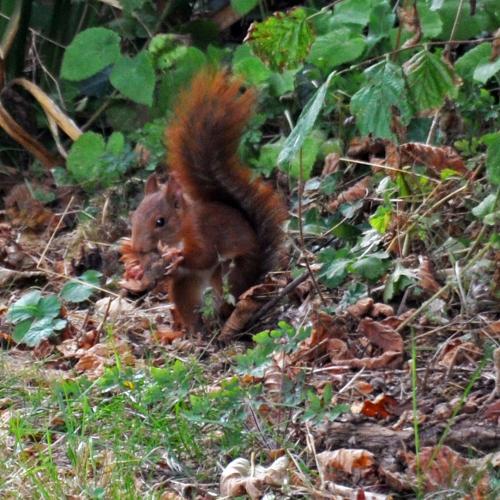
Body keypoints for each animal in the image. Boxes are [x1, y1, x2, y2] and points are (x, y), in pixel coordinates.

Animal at [129, 67, 288, 332]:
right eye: (133, 219)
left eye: (160, 222)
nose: (139, 249)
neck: (182, 229)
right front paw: (136, 270)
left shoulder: (204, 233)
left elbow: (203, 256)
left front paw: (176, 258)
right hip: (184, 288)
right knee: (190, 309)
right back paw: (189, 331)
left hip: (228, 275)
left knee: (223, 298)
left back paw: (217, 322)